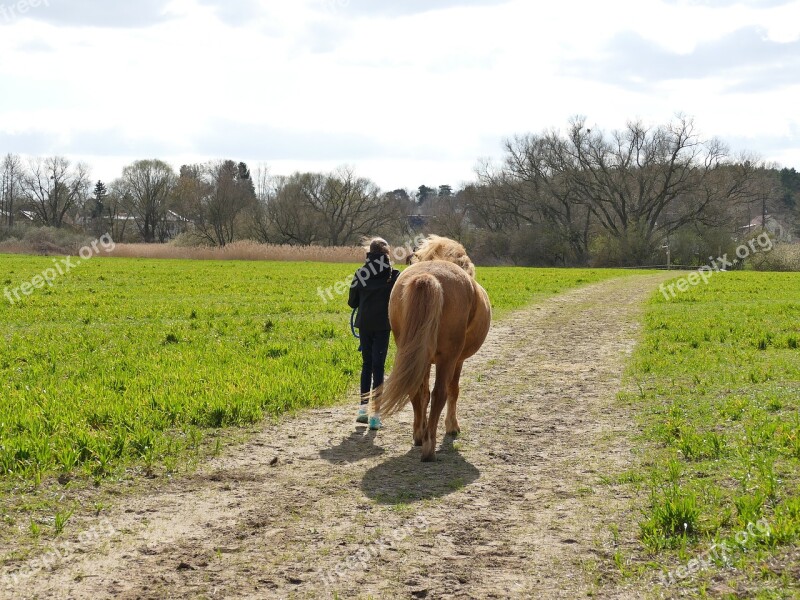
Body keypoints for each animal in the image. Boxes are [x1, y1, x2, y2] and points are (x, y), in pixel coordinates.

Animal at [370, 237, 494, 462]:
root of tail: (428, 277)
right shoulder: (457, 360)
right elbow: (452, 390)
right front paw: (452, 427)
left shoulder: (424, 359)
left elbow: (423, 393)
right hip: (447, 359)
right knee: (440, 394)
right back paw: (429, 446)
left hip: (414, 354)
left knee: (416, 391)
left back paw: (420, 435)